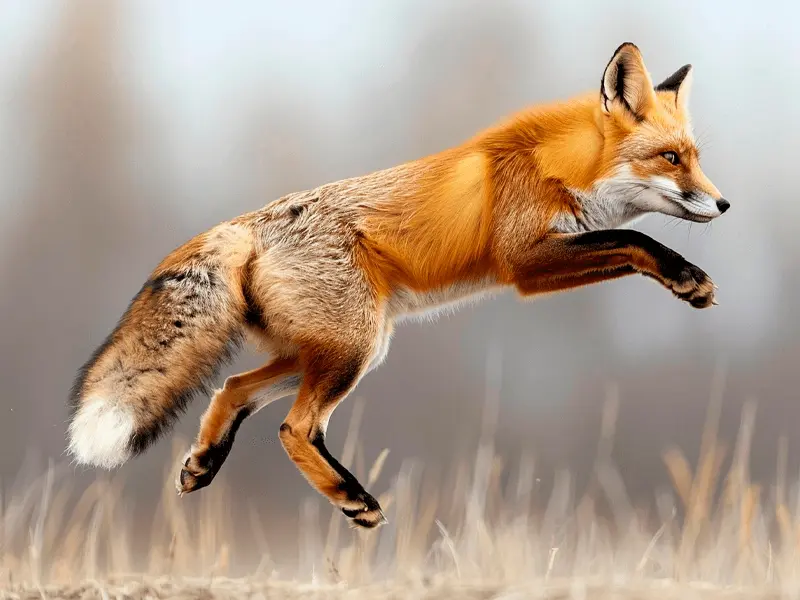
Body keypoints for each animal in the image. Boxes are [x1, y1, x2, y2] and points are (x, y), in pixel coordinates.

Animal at [68, 43, 728, 529]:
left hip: (337, 348)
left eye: (695, 157)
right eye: (671, 159)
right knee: (294, 427)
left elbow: (626, 239)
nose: (723, 203)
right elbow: (634, 240)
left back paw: (204, 465)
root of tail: (246, 224)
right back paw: (352, 499)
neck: (559, 167)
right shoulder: (523, 262)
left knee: (231, 389)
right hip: (351, 350)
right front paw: (686, 277)